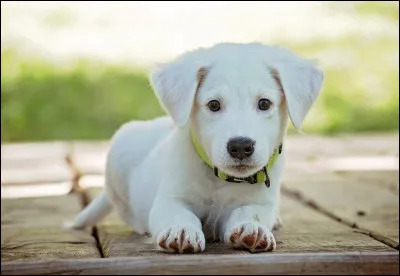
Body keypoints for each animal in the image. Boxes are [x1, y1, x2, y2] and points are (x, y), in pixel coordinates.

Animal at [68, 42, 324, 253]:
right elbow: (179, 214)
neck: (219, 179)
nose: (241, 146)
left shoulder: (261, 202)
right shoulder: (170, 199)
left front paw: (252, 228)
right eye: (214, 105)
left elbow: (249, 212)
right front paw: (181, 231)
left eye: (264, 103)